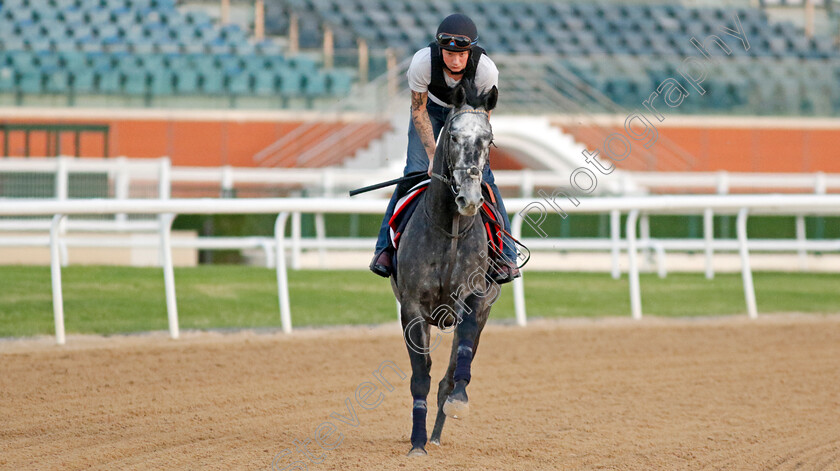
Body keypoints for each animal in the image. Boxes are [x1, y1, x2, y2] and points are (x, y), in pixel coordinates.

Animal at [392, 80, 502, 458]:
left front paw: (458, 401)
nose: (469, 199)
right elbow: (419, 377)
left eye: (488, 139)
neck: (450, 229)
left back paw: (441, 426)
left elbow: (459, 362)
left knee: (451, 372)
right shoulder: (412, 307)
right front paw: (417, 443)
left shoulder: (477, 298)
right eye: (453, 137)